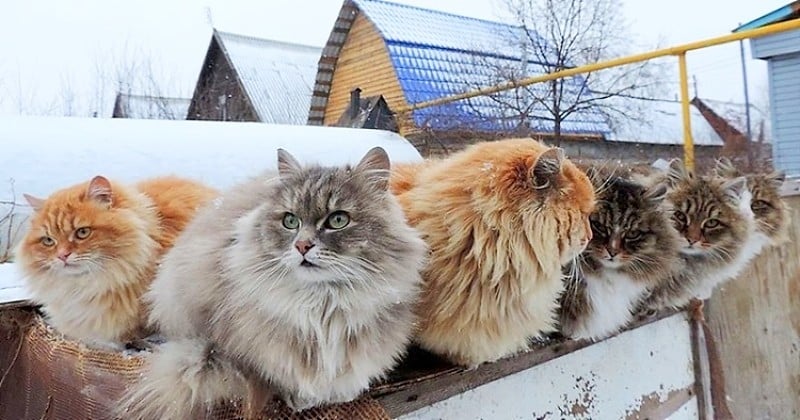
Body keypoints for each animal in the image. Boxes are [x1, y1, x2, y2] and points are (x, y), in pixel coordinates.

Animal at [119, 147, 428, 416]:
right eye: (290, 221)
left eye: (338, 220)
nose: (302, 246)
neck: (323, 306)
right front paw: (301, 400)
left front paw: (340, 395)